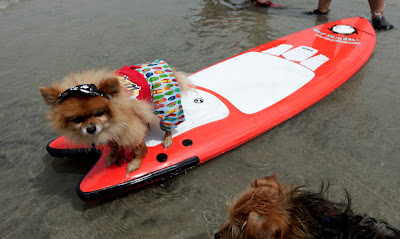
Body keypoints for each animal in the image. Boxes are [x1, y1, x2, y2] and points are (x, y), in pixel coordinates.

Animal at [40, 60, 192, 176]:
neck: (112, 121)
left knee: (168, 125)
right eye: (77, 120)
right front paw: (113, 155)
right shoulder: (111, 130)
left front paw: (135, 163)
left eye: (99, 113)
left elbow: (137, 148)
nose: (91, 128)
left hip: (166, 105)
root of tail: (162, 64)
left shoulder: (132, 128)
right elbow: (113, 145)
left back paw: (167, 140)